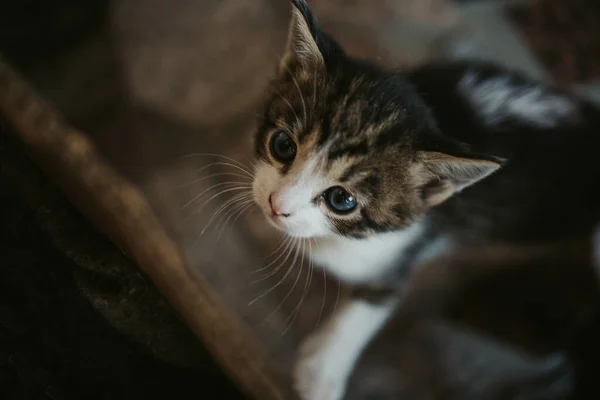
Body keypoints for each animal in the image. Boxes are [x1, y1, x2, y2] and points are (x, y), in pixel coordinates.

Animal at [251, 1, 600, 398]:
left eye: (341, 199)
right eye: (282, 145)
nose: (278, 205)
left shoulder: (403, 249)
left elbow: (373, 304)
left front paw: (321, 373)